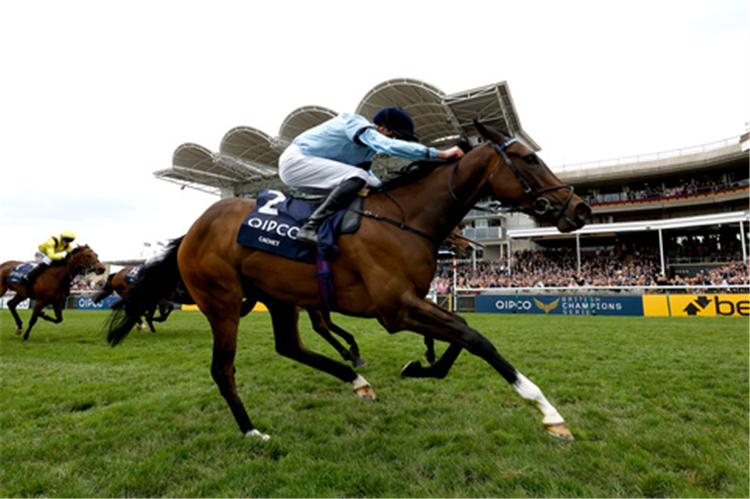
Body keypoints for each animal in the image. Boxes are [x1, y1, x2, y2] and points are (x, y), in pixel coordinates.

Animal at [106, 121, 592, 442]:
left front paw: (420, 366)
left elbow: (462, 336)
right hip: (222, 303)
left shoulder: (414, 301)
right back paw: (251, 431)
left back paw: (356, 380)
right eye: (530, 158)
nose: (581, 208)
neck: (405, 220)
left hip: (278, 297)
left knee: (290, 346)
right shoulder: (396, 308)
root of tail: (192, 231)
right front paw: (547, 411)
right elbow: (475, 338)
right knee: (223, 369)